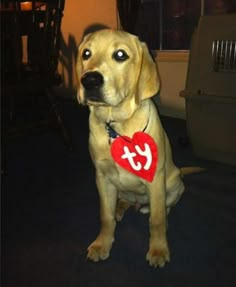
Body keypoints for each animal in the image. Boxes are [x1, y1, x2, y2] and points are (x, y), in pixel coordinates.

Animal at [75, 29, 184, 268]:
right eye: (86, 53)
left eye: (120, 55)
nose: (89, 80)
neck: (116, 124)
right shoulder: (102, 177)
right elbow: (105, 216)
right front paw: (102, 244)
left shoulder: (155, 179)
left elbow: (157, 220)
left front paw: (158, 250)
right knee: (123, 201)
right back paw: (120, 208)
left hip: (174, 184)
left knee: (165, 207)